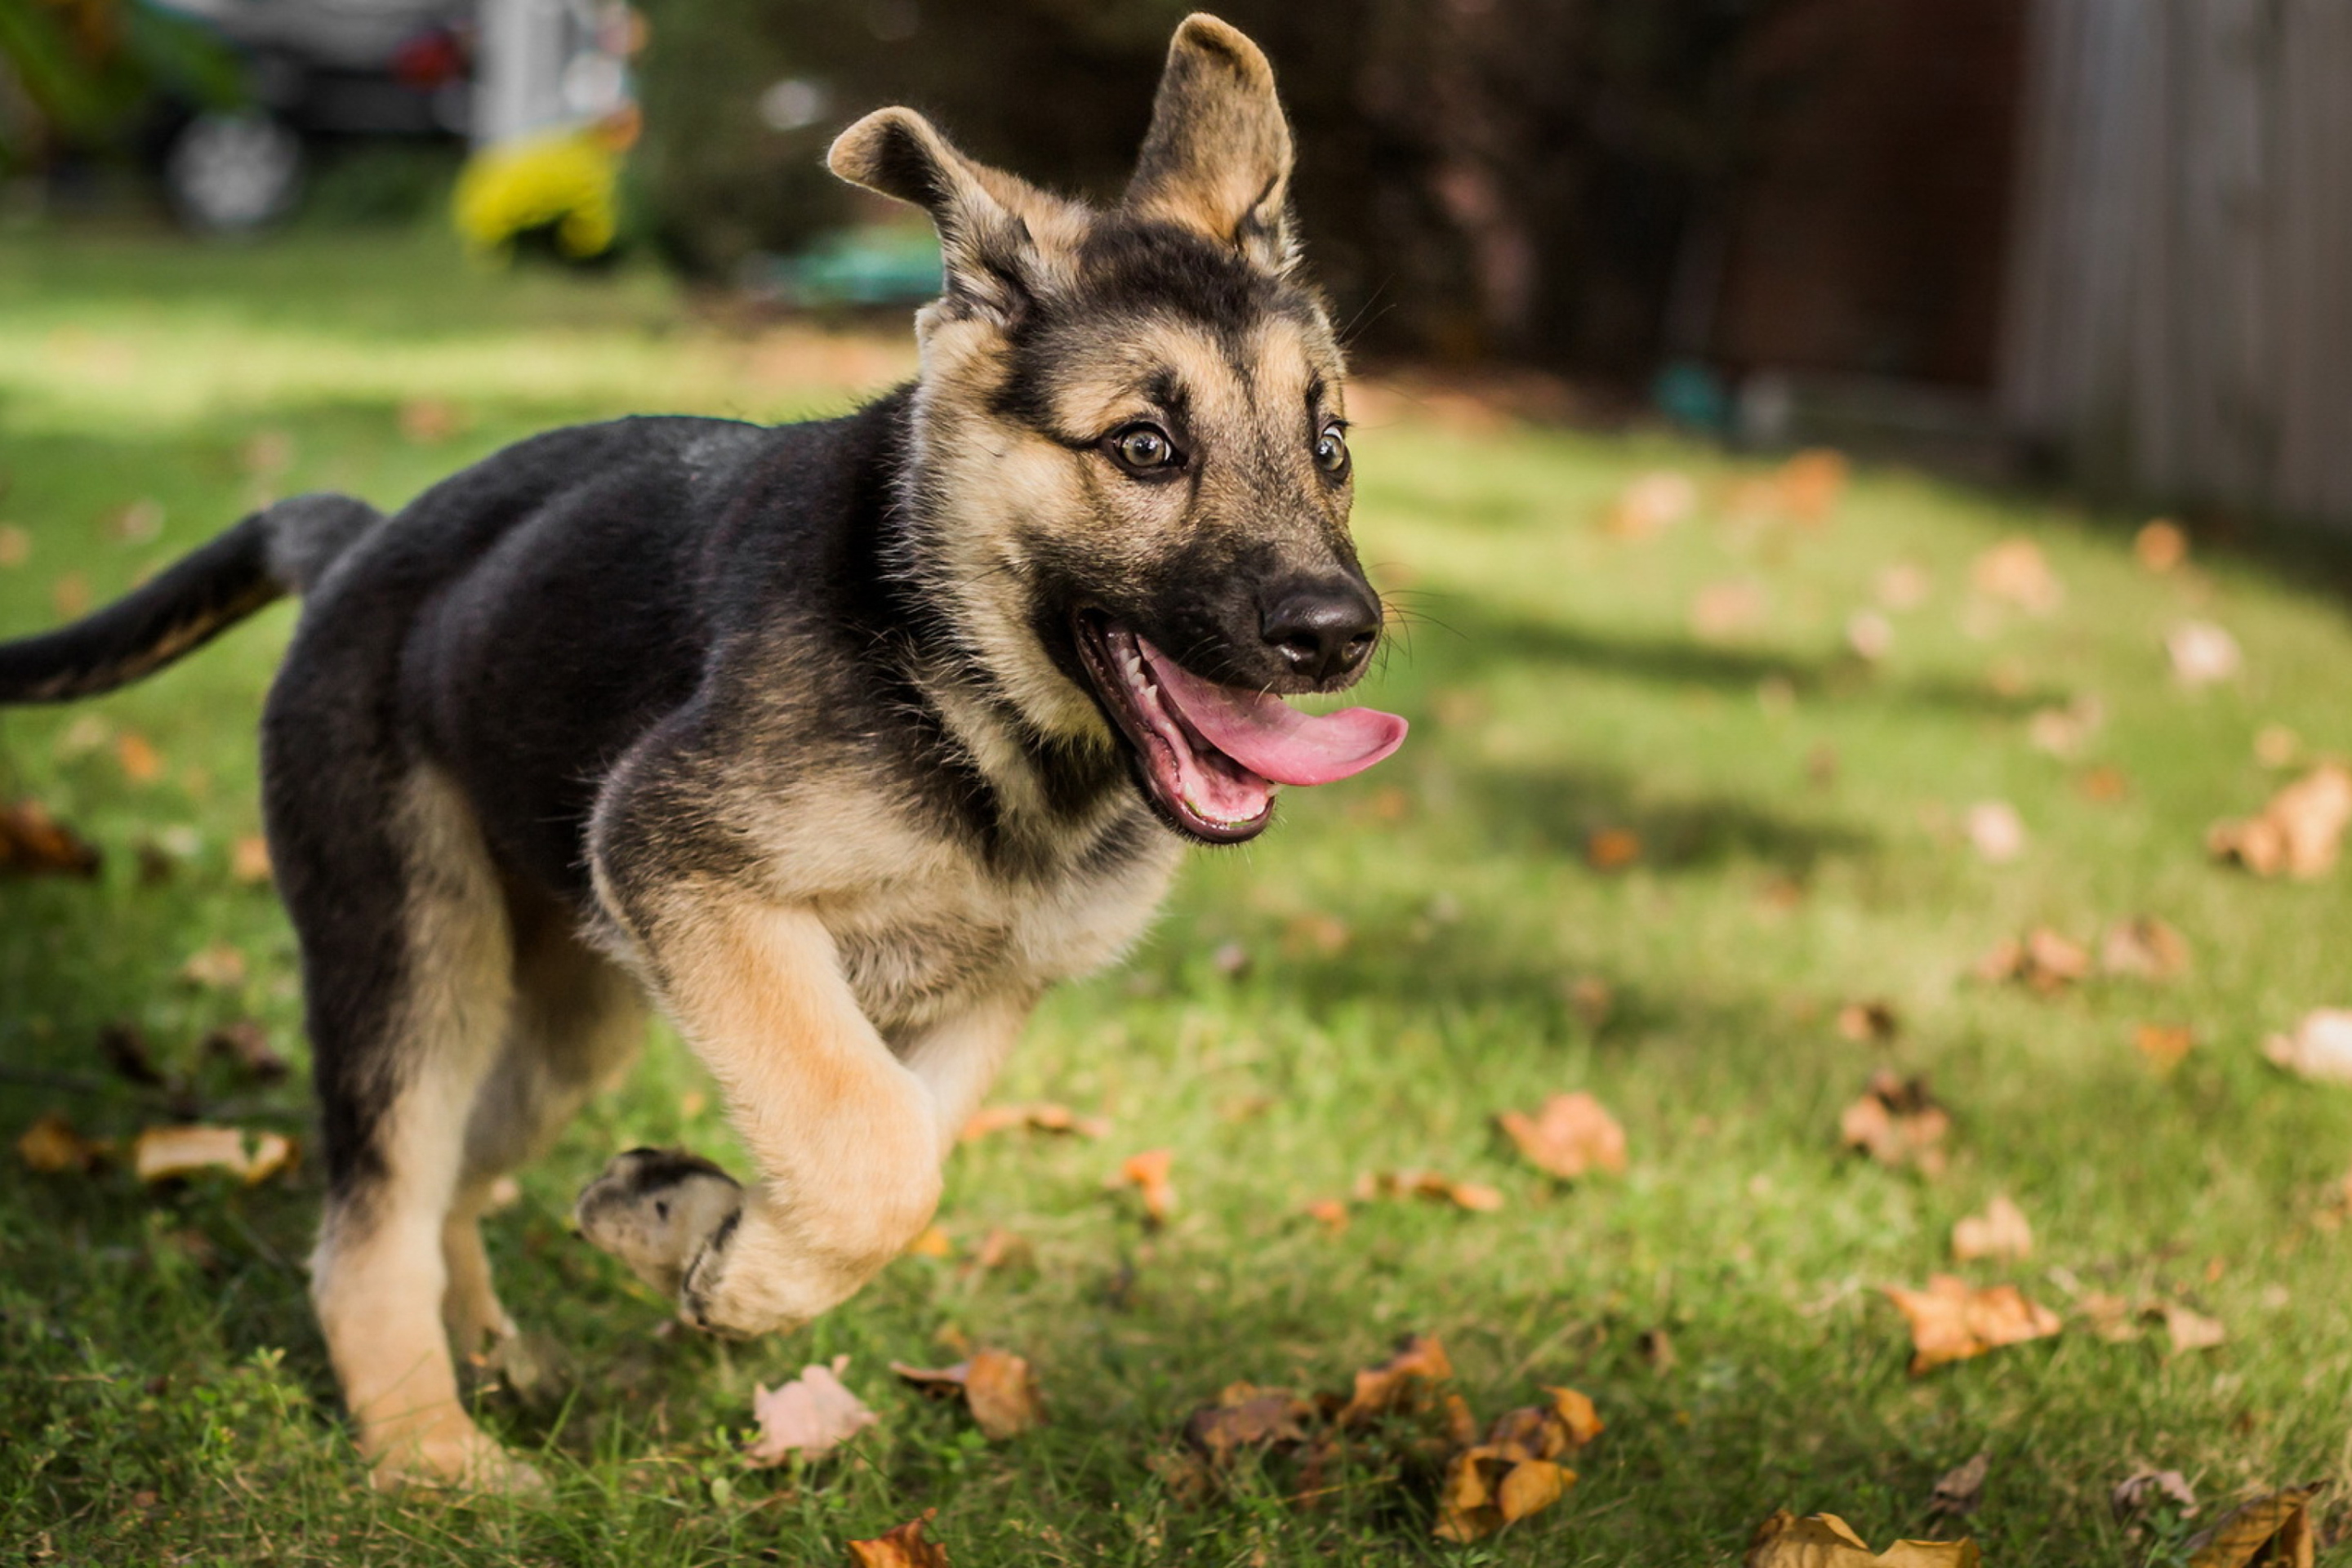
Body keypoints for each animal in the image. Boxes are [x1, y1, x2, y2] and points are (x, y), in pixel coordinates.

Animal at [0, 12, 1392, 1494]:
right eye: (1143, 446)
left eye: (1329, 444)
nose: (1338, 636)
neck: (960, 683)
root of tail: (360, 549)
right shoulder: (687, 863)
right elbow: (873, 1146)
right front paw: (738, 1274)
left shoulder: (986, 988)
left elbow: (899, 1140)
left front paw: (708, 1235)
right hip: (416, 954)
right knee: (374, 1216)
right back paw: (435, 1452)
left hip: (569, 1006)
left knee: (459, 1182)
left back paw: (504, 1347)